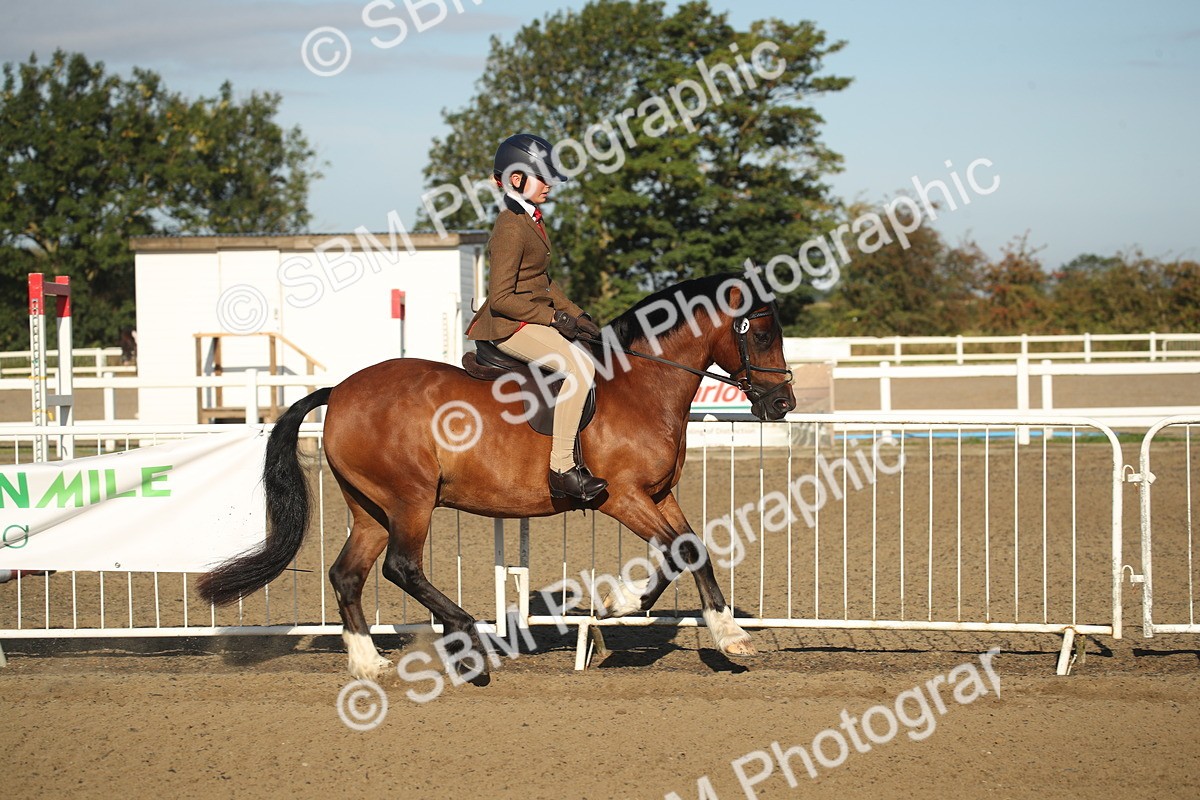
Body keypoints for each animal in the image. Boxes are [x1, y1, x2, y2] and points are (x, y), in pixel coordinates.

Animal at [197, 273, 797, 681]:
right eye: (763, 334)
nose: (783, 404)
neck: (640, 386)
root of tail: (340, 390)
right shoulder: (621, 496)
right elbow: (680, 551)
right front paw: (650, 612)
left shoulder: (659, 493)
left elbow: (689, 550)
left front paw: (703, 627)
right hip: (411, 499)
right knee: (400, 567)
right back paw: (467, 643)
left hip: (370, 507)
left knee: (348, 574)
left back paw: (369, 664)